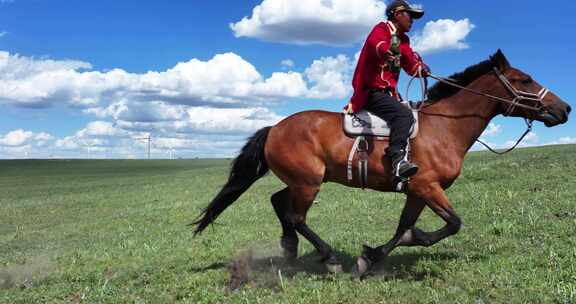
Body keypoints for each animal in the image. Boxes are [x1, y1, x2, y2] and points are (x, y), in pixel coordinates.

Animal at [191, 50, 568, 278]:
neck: (444, 127)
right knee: (296, 215)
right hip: (308, 183)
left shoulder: (416, 192)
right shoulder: (427, 187)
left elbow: (404, 229)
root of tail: (275, 128)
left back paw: (290, 248)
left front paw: (371, 256)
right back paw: (327, 257)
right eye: (524, 79)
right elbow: (452, 224)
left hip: (303, 181)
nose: (564, 109)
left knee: (279, 203)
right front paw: (375, 255)